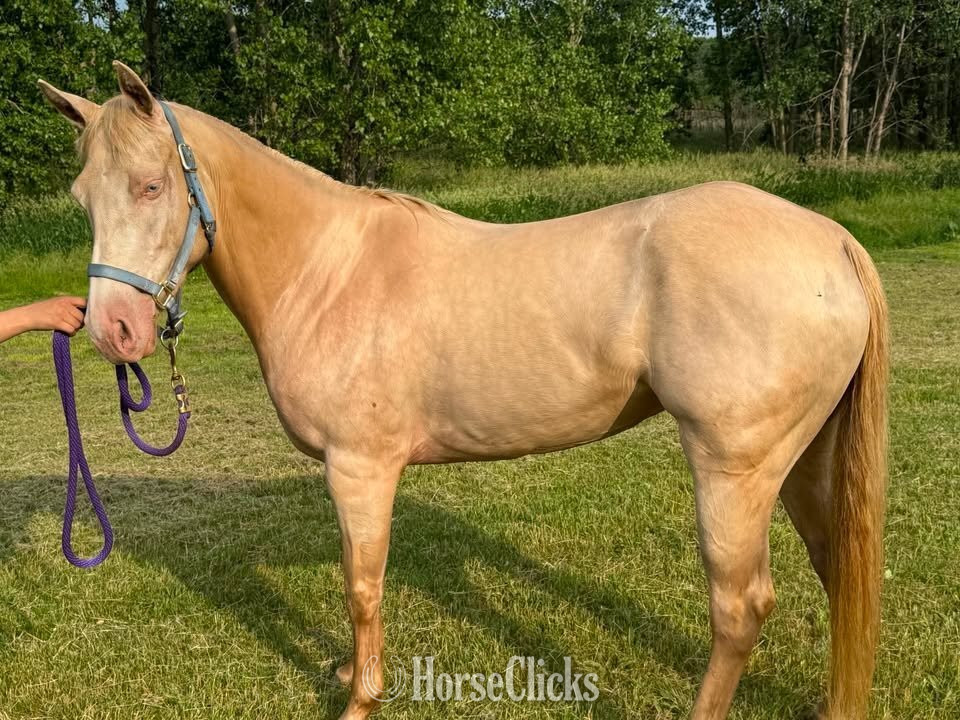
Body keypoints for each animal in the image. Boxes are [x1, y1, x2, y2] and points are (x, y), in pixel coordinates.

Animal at [39, 62, 888, 720]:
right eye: (84, 198)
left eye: (152, 186)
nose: (113, 331)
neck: (328, 270)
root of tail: (833, 240)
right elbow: (356, 576)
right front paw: (349, 673)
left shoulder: (361, 469)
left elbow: (362, 584)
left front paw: (362, 698)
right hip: (800, 463)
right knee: (836, 569)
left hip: (733, 471)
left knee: (740, 608)